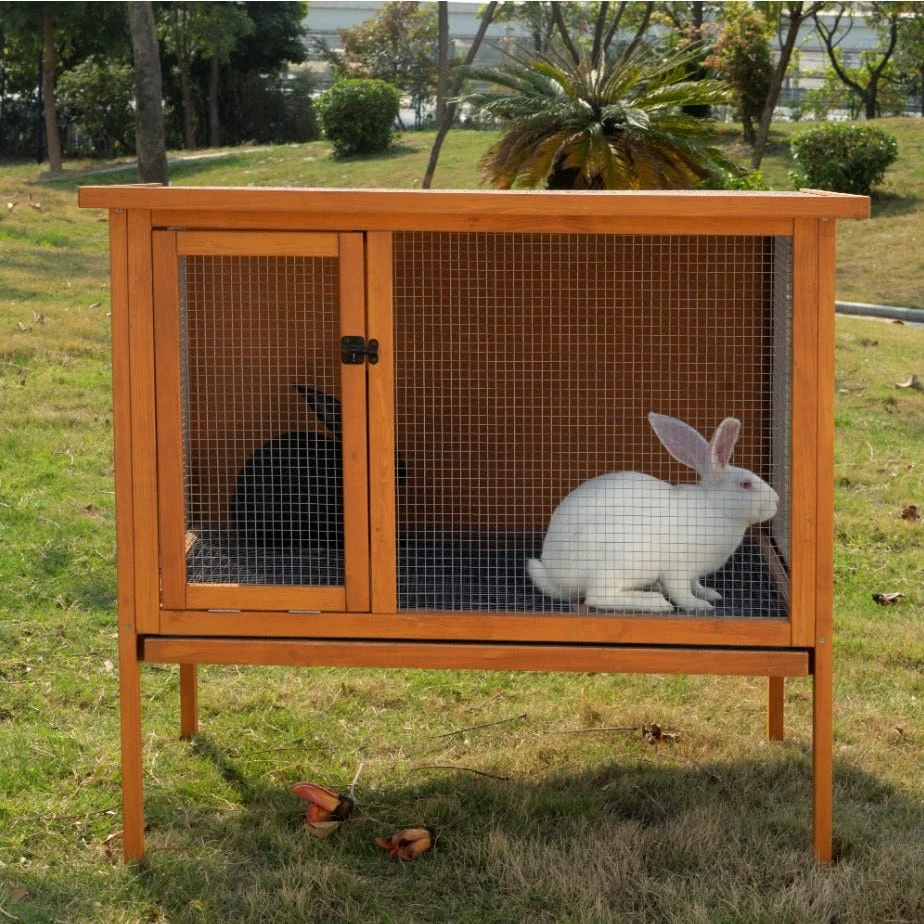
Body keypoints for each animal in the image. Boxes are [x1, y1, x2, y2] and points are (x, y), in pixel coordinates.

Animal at [527, 413, 779, 612]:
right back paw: (655, 602)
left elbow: (695, 585)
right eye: (746, 484)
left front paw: (709, 594)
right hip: (622, 559)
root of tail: (554, 574)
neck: (715, 509)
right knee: (597, 597)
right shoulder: (678, 568)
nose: (776, 502)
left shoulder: (693, 573)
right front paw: (699, 605)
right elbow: (681, 592)